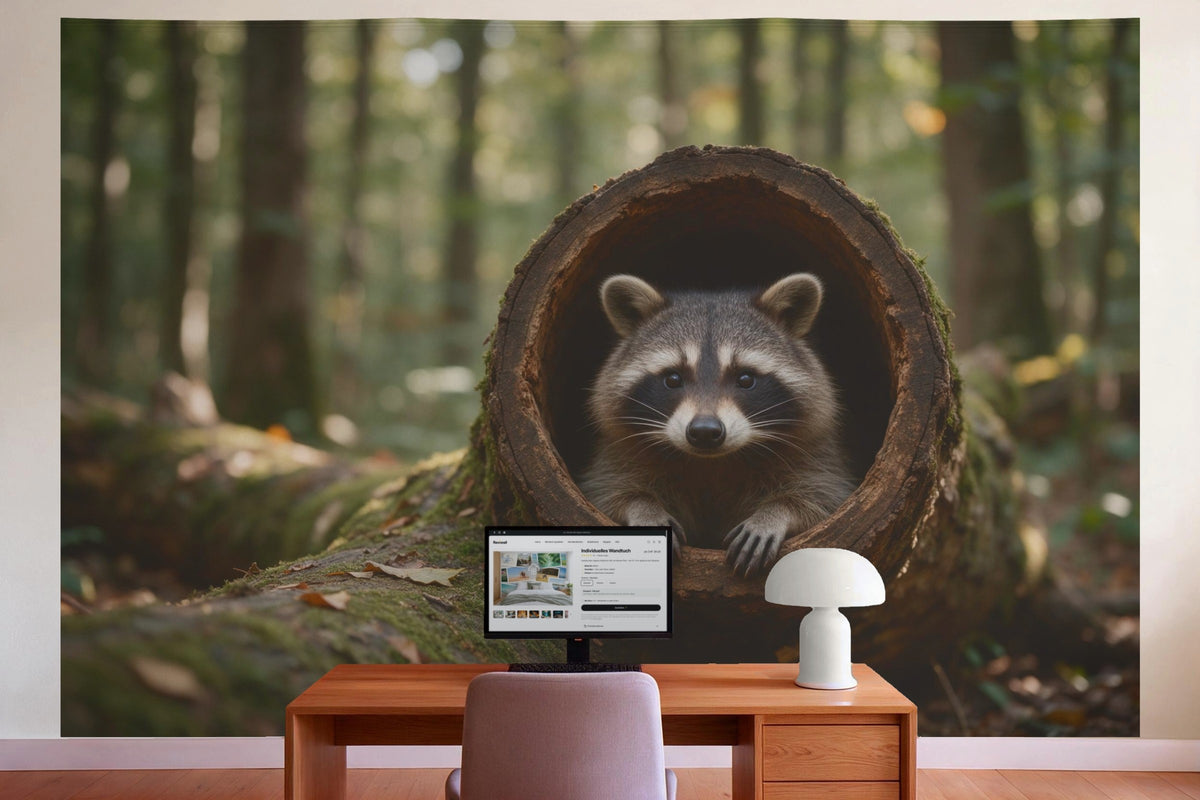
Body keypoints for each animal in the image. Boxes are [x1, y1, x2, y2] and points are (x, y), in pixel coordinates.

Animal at [580, 273, 855, 576]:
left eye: (745, 379)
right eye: (673, 379)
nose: (704, 432)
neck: (712, 463)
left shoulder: (815, 450)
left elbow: (824, 498)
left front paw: (775, 512)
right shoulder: (618, 451)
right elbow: (609, 494)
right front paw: (644, 507)